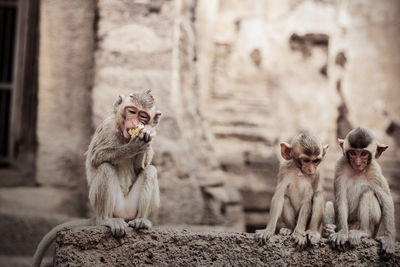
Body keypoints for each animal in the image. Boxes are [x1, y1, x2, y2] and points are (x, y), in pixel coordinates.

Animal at [32, 90, 162, 267]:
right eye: (131, 111)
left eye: (143, 116)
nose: (135, 122)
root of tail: (123, 214)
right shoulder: (108, 127)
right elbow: (97, 157)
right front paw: (134, 146)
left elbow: (141, 168)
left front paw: (146, 135)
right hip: (108, 206)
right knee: (106, 167)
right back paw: (105, 220)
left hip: (130, 209)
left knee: (150, 171)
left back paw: (141, 220)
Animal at [324, 127, 396, 258]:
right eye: (353, 153)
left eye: (363, 154)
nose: (357, 163)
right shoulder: (340, 165)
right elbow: (340, 199)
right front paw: (342, 233)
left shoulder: (375, 170)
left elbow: (386, 199)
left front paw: (389, 239)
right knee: (330, 204)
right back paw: (329, 230)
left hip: (373, 229)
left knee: (368, 194)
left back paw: (363, 232)